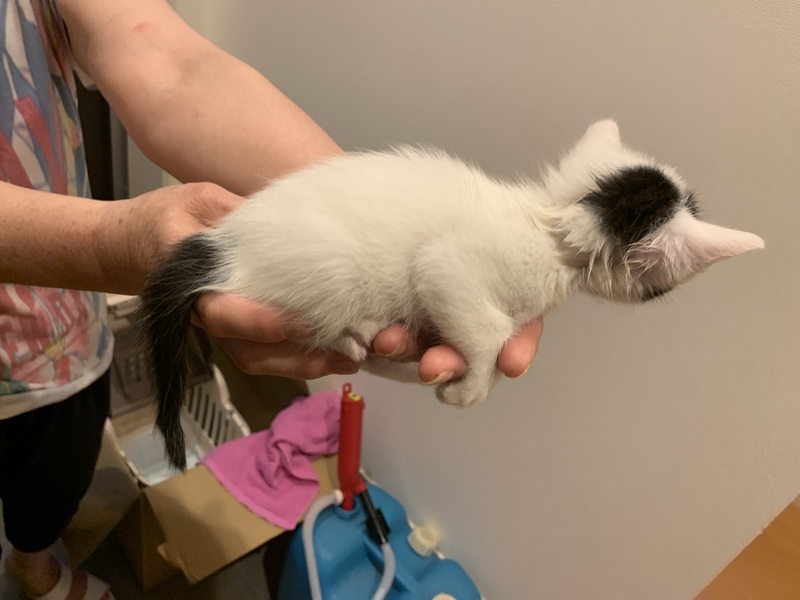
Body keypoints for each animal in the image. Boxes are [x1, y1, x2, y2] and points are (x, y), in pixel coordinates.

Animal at [138, 120, 764, 470]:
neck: (549, 225)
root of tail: (225, 243)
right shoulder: (447, 265)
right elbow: (484, 324)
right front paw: (468, 389)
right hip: (332, 270)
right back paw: (357, 332)